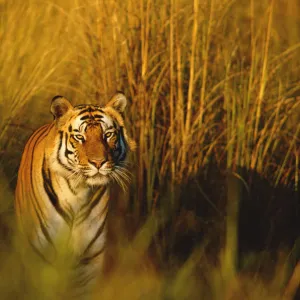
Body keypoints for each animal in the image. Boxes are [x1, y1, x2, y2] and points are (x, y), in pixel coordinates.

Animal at [14, 92, 135, 296]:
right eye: (80, 137)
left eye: (108, 135)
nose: (99, 162)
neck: (78, 192)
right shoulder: (40, 257)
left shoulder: (89, 262)